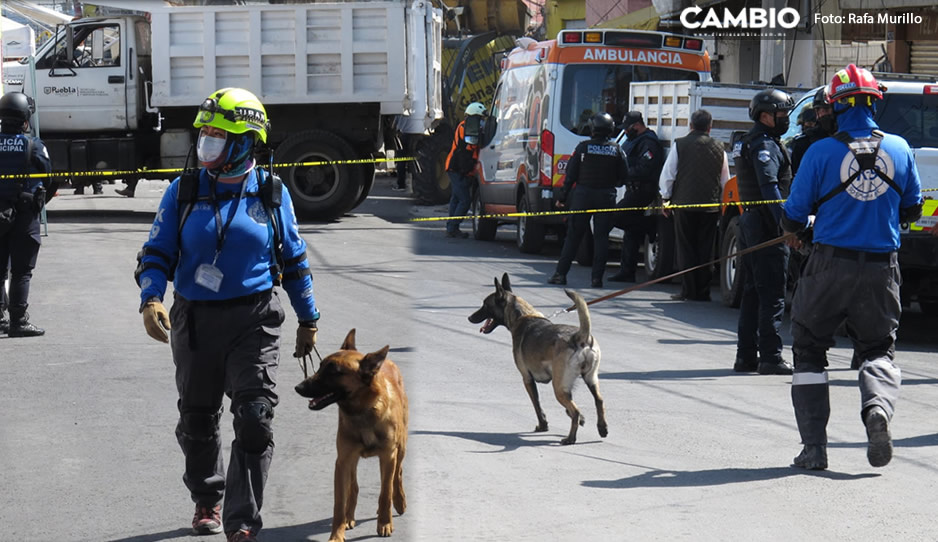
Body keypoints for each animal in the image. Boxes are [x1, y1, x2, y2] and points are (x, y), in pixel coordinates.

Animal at [294, 330, 408, 542]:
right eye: (320, 367)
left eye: (333, 372)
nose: (298, 387)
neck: (363, 411)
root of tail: (386, 361)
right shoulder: (343, 462)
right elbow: (339, 503)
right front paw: (337, 534)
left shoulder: (388, 456)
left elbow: (385, 492)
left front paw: (384, 523)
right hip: (351, 460)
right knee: (353, 487)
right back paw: (349, 516)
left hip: (400, 448)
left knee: (397, 475)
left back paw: (399, 502)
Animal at [468, 276, 608, 446]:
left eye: (485, 305)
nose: (469, 317)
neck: (523, 316)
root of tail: (580, 337)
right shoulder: (566, 385)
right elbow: (569, 407)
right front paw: (581, 420)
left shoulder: (527, 379)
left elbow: (537, 405)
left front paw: (543, 425)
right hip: (589, 379)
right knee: (598, 401)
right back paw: (602, 428)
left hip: (558, 388)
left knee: (575, 411)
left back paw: (570, 438)